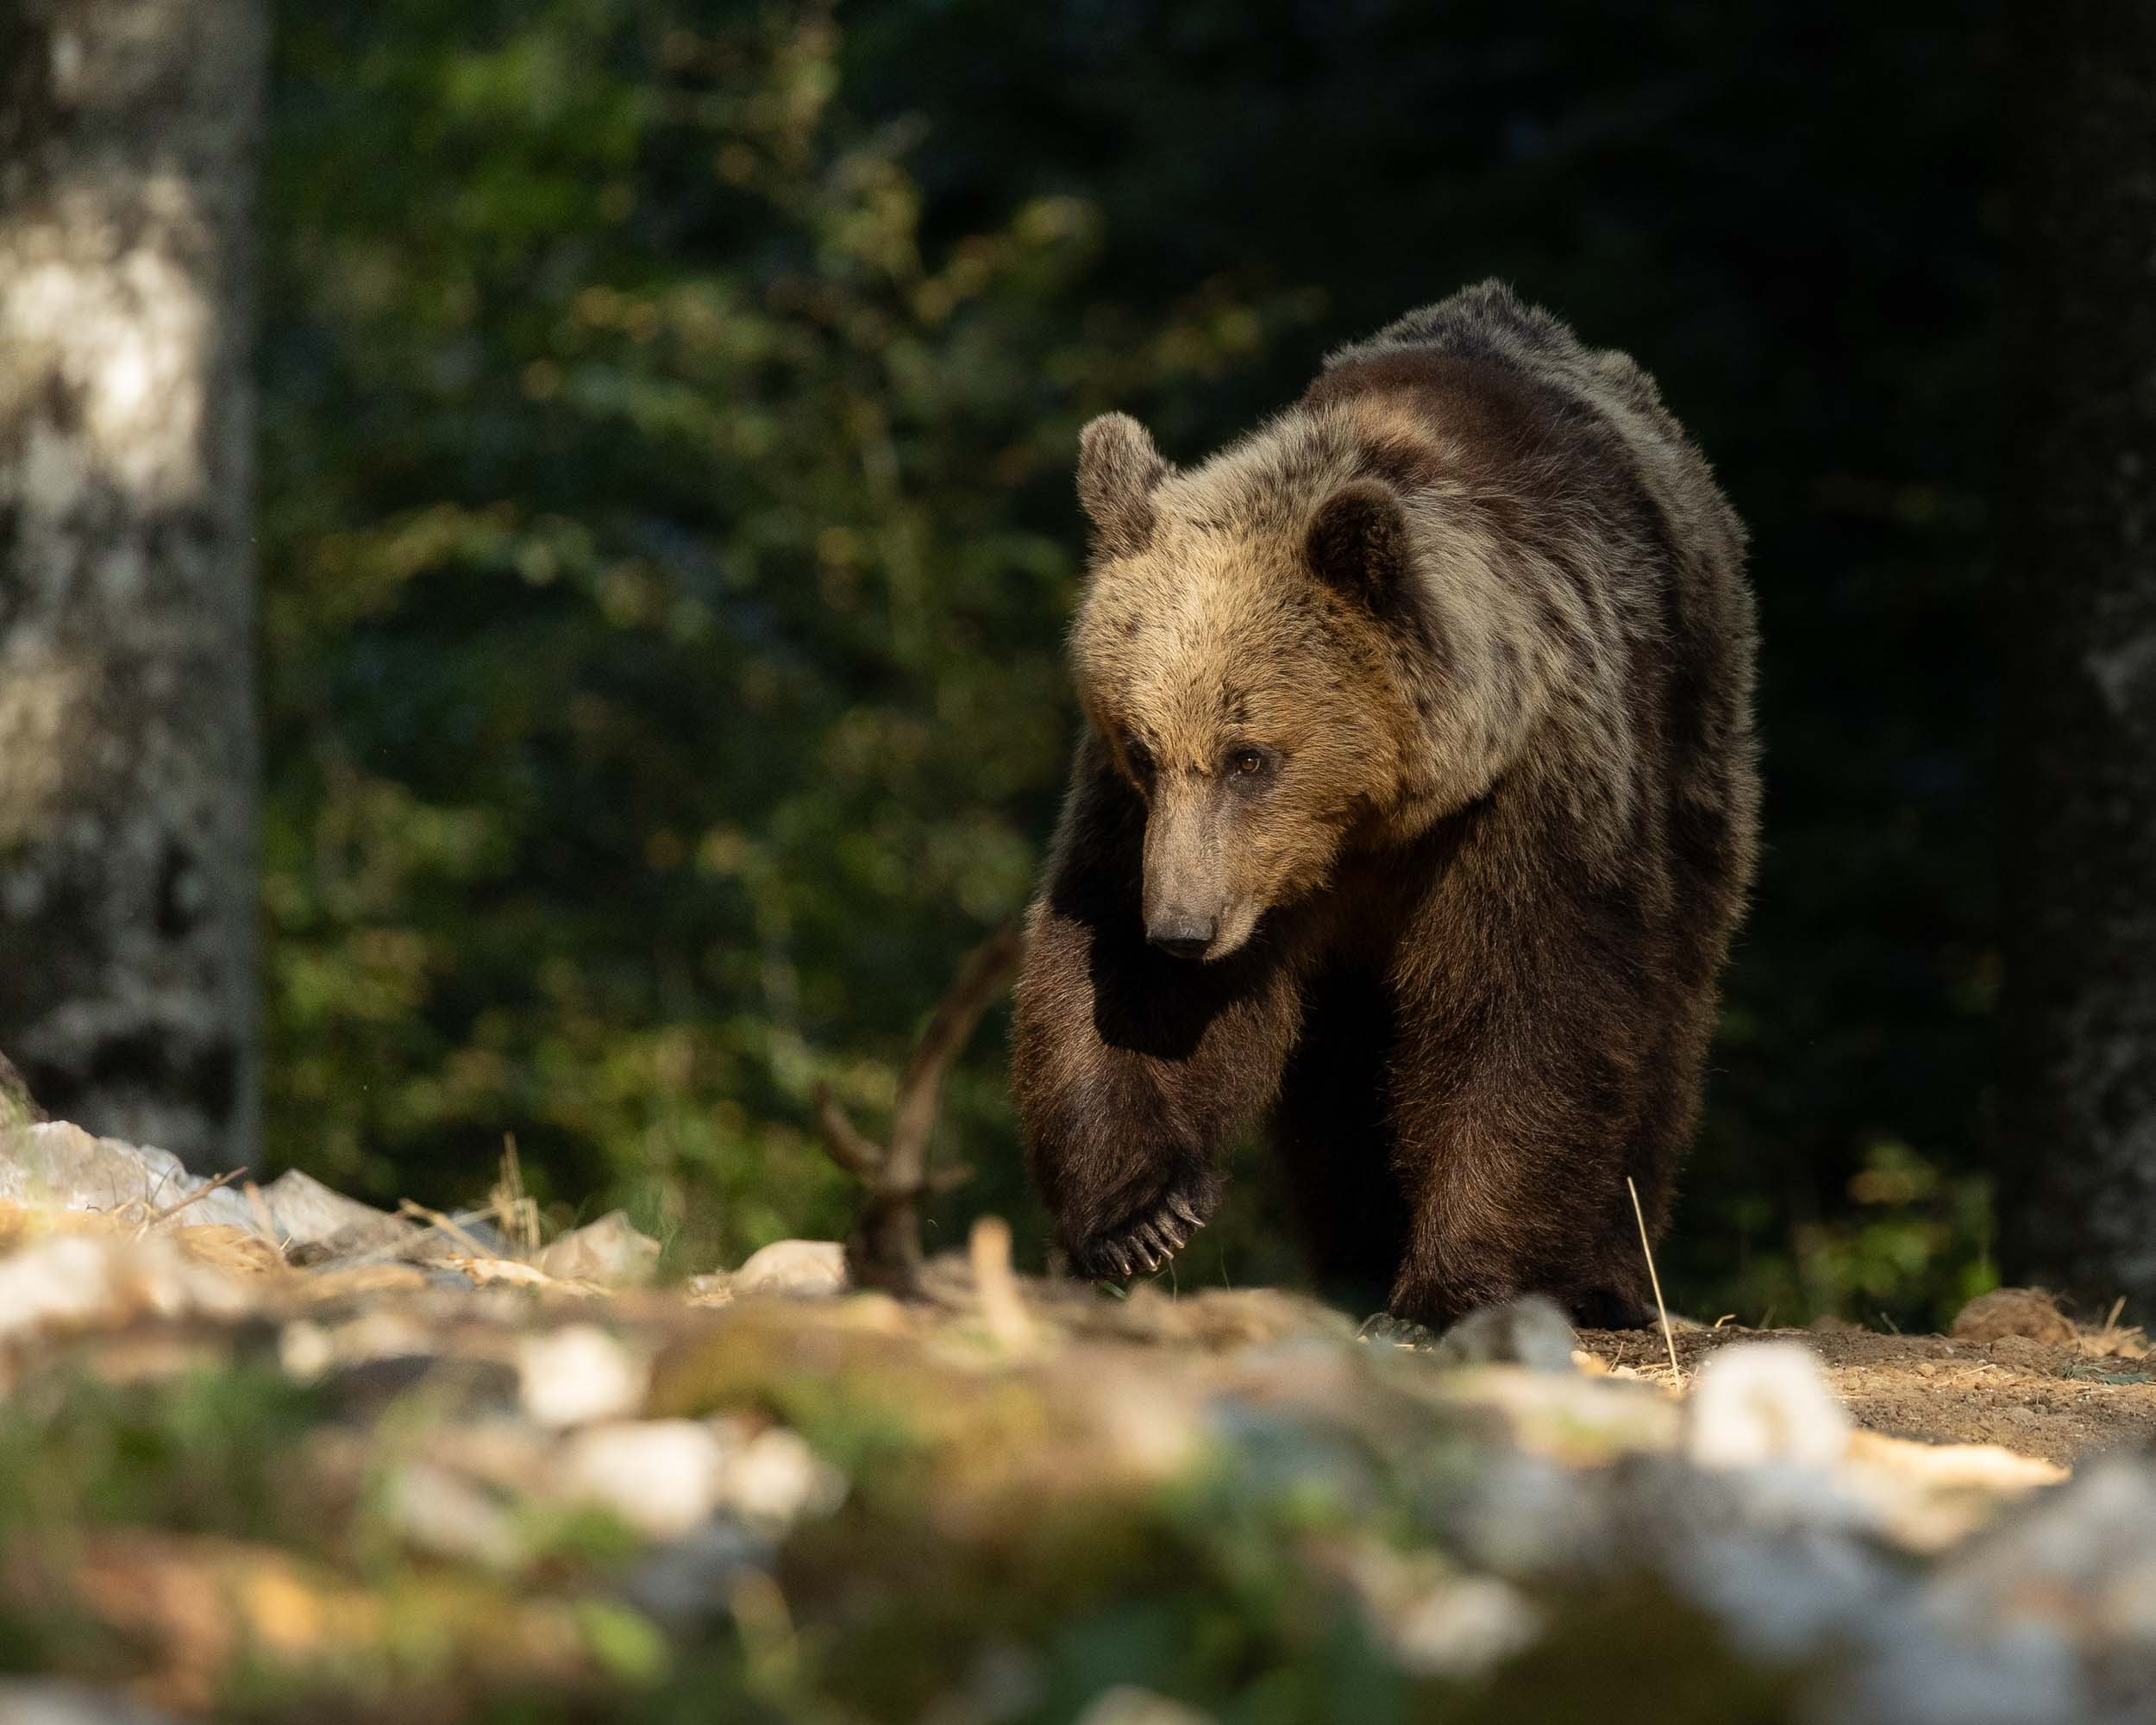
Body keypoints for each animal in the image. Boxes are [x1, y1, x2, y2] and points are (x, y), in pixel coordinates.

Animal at [1010, 280, 1759, 1330]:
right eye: (1144, 750)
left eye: (1250, 756)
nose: (1183, 930)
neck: (1377, 815)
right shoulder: (1151, 831)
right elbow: (1108, 967)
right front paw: (1142, 1213)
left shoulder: (1530, 795)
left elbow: (1531, 1004)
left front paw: (1456, 1284)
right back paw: (1355, 1251)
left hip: (1692, 744)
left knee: (1669, 1003)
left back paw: (1611, 1273)